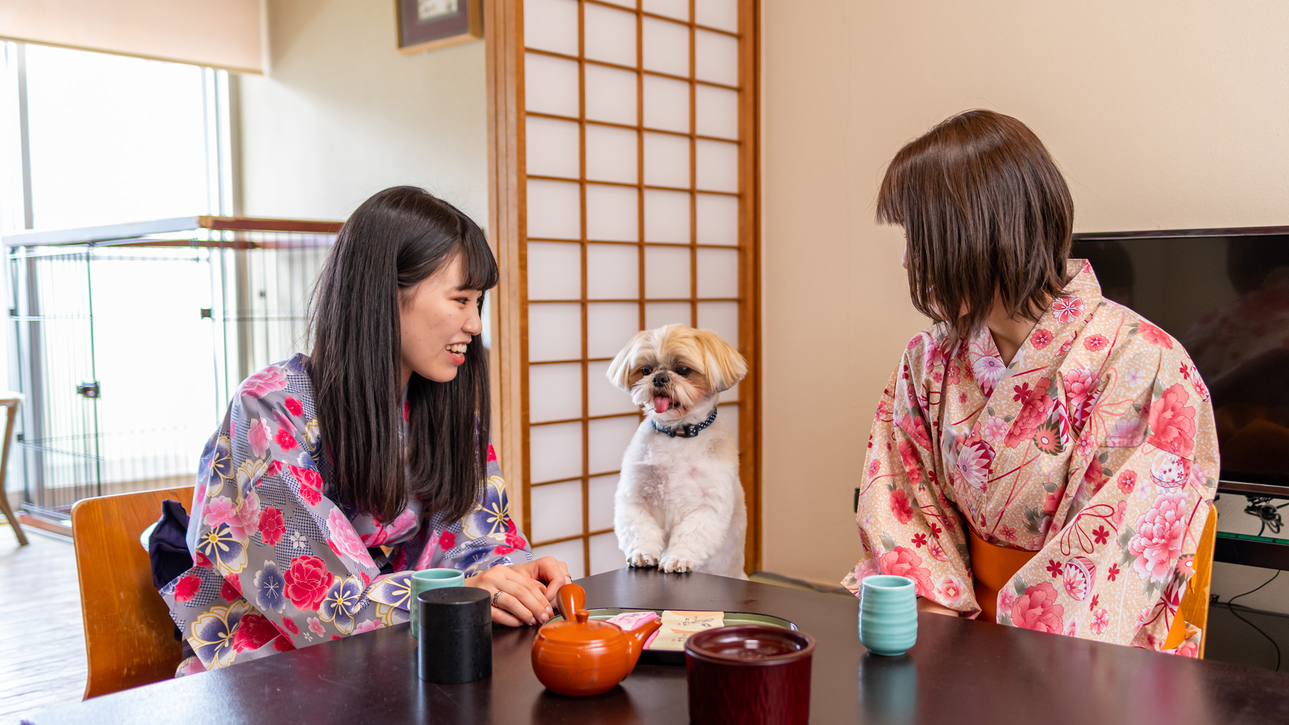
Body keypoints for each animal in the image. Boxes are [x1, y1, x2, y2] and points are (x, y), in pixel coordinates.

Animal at [608, 322, 752, 575]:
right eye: (646, 370)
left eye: (683, 369)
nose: (659, 378)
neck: (677, 433)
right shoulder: (634, 495)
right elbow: (639, 527)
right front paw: (643, 554)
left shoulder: (708, 504)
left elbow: (691, 535)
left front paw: (677, 558)